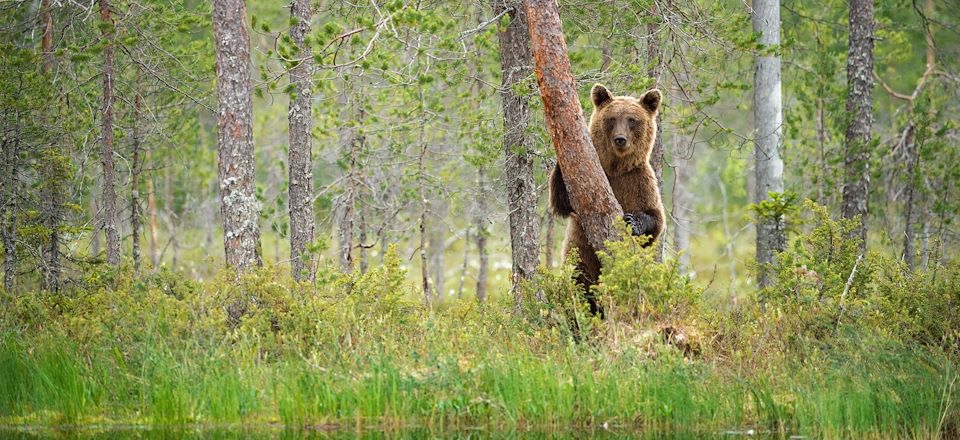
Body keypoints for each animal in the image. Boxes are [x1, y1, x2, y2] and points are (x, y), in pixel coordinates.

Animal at [548, 84, 668, 314]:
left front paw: (633, 221)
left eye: (632, 120)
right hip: (581, 256)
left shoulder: (639, 181)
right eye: (612, 119)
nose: (620, 139)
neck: (616, 168)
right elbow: (561, 202)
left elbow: (656, 219)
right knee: (580, 285)